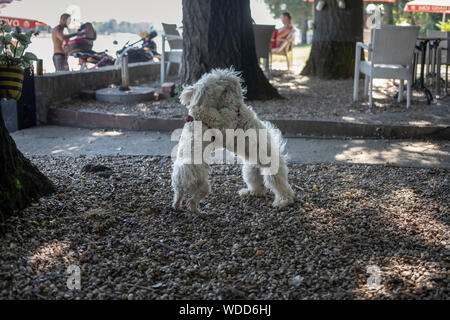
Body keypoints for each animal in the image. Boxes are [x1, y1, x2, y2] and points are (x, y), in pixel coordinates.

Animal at [170, 69, 296, 214]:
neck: (234, 105)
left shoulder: (226, 122)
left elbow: (212, 116)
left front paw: (198, 110)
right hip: (250, 171)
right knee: (258, 187)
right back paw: (249, 192)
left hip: (272, 172)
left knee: (282, 188)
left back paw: (282, 201)